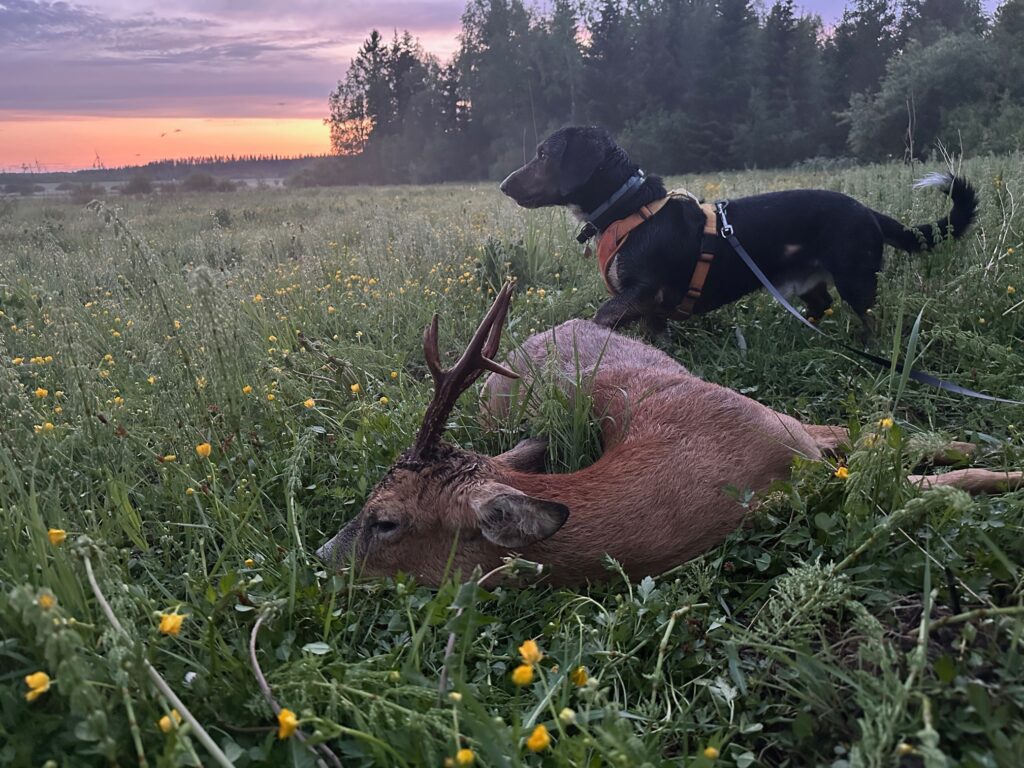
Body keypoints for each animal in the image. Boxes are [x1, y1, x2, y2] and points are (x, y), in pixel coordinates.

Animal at [315, 286, 1019, 585]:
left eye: (385, 520)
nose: (320, 557)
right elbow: (899, 462)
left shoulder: (782, 428)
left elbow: (901, 449)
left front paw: (999, 460)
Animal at [499, 126, 978, 335]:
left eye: (543, 154)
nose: (503, 186)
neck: (630, 208)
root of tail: (870, 212)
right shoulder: (651, 309)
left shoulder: (643, 290)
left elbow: (601, 314)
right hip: (810, 282)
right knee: (820, 305)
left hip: (856, 279)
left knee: (869, 318)